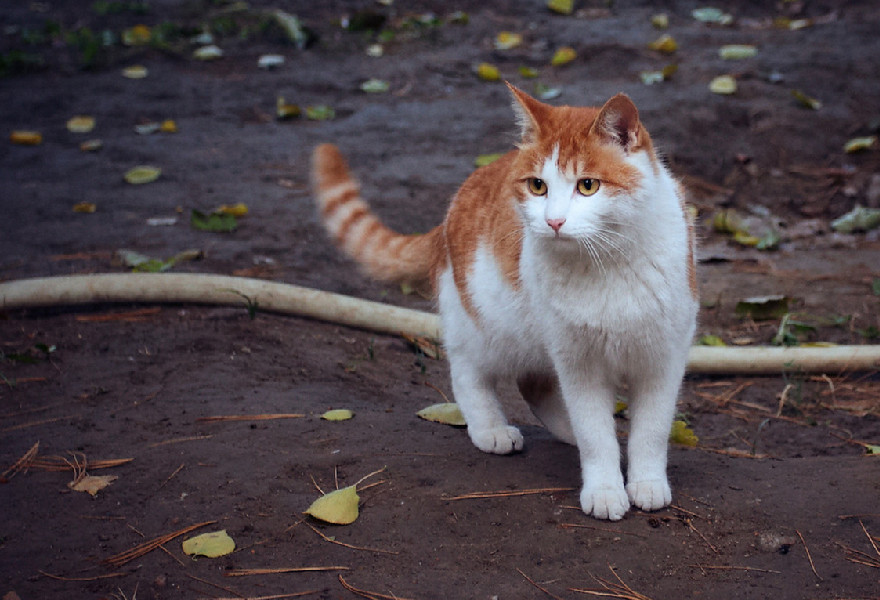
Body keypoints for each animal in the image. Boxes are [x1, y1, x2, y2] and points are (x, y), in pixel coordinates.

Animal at [312, 84, 696, 520]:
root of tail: (453, 205)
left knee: (535, 385)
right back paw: (491, 429)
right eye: (538, 186)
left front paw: (646, 483)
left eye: (587, 186)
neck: (605, 263)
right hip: (488, 326)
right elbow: (595, 434)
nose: (553, 222)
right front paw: (604, 488)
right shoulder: (579, 363)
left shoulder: (663, 359)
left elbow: (651, 431)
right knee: (468, 372)